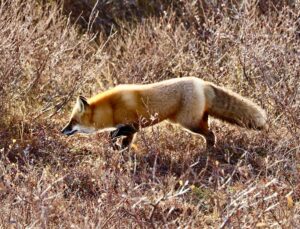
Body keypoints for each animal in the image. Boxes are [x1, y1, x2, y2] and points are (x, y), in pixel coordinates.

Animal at [61, 77, 268, 148]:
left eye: (72, 121)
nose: (62, 131)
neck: (111, 108)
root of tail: (202, 83)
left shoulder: (132, 125)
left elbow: (113, 134)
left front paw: (114, 146)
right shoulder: (132, 130)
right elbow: (125, 142)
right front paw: (120, 151)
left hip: (189, 123)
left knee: (211, 135)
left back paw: (208, 153)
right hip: (197, 120)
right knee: (211, 133)